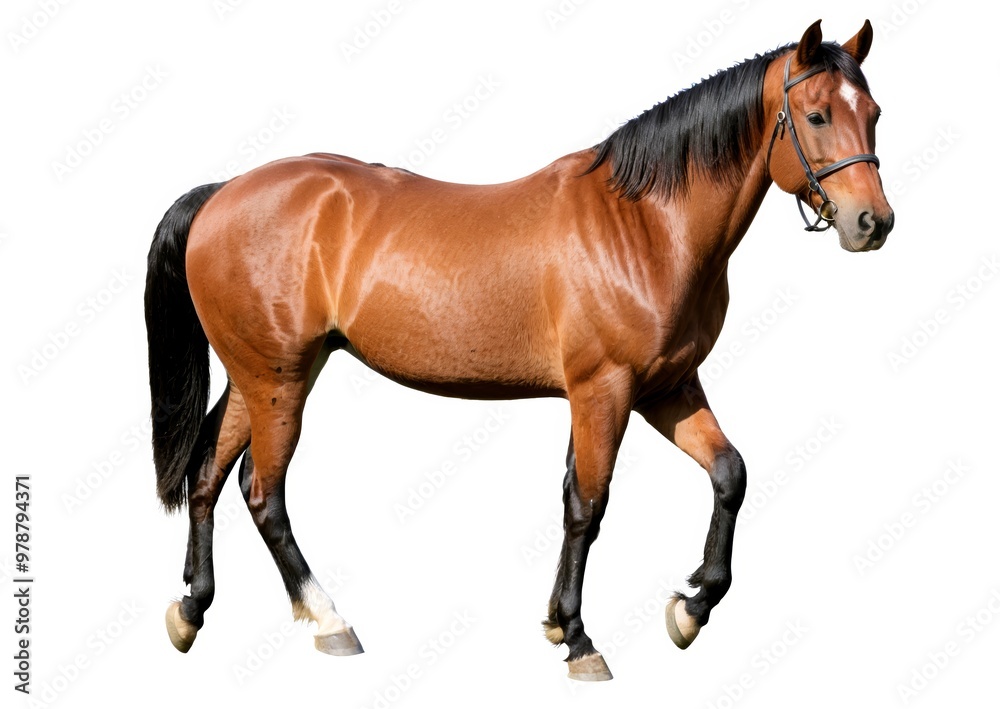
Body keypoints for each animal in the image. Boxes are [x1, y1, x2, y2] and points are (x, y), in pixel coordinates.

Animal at [144, 20, 892, 681]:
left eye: (875, 113)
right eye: (817, 115)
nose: (873, 223)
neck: (644, 224)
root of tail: (221, 194)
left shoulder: (667, 388)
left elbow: (728, 474)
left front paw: (689, 607)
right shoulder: (604, 390)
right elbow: (588, 504)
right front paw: (579, 638)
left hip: (258, 375)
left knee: (208, 474)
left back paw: (191, 609)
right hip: (280, 378)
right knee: (262, 492)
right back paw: (330, 621)